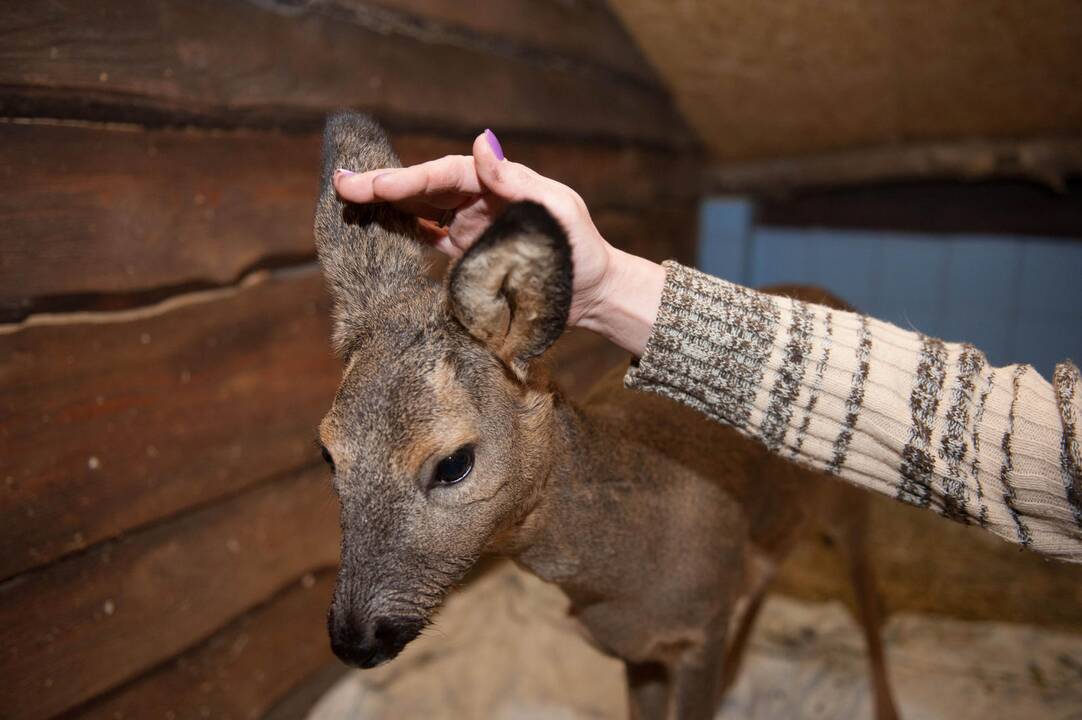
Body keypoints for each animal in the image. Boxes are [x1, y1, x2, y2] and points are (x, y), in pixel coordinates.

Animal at [311, 112, 895, 718]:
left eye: (452, 464)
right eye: (326, 453)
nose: (353, 640)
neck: (620, 577)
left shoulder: (700, 633)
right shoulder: (638, 653)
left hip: (850, 502)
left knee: (867, 585)